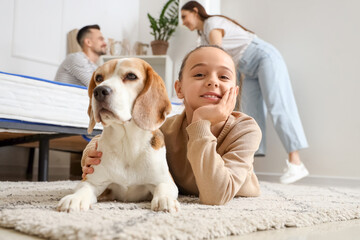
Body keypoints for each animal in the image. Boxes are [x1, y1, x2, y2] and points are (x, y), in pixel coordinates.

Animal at [57, 59, 180, 213]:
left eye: (131, 76)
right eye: (98, 78)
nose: (99, 91)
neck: (127, 143)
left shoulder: (166, 181)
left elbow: (163, 188)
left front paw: (165, 199)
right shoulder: (92, 181)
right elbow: (83, 189)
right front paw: (75, 198)